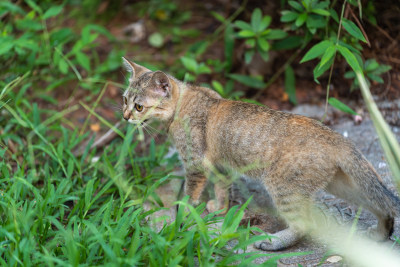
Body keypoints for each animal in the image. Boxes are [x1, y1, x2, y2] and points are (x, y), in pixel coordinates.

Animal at [122, 56, 400, 251]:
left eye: (139, 106)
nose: (124, 116)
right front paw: (220, 207)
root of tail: (337, 138)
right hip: (342, 183)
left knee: (305, 224)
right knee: (382, 204)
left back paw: (273, 243)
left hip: (283, 185)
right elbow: (222, 186)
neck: (185, 102)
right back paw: (380, 234)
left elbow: (190, 195)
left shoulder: (195, 164)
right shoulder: (220, 165)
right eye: (125, 100)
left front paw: (182, 215)